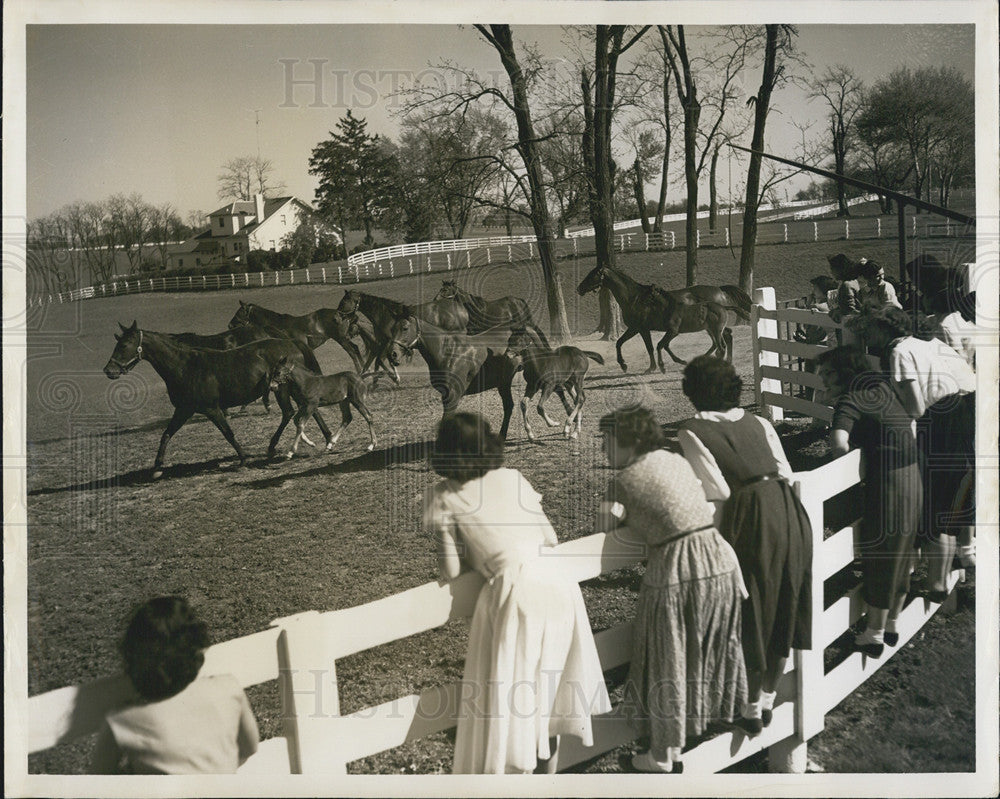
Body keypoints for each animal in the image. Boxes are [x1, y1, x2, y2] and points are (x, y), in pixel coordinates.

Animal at [104, 320, 332, 482]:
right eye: (116, 342)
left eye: (124, 344)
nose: (109, 370)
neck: (184, 367)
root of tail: (290, 342)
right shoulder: (184, 410)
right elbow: (166, 434)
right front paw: (157, 468)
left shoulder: (212, 409)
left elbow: (228, 433)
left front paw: (243, 459)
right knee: (306, 410)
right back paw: (327, 438)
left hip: (282, 389)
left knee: (289, 413)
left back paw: (273, 446)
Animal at [227, 300, 372, 376]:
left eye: (239, 312)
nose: (230, 325)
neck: (280, 325)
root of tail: (343, 314)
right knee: (356, 349)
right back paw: (365, 370)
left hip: (341, 339)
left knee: (352, 352)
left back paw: (360, 371)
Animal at [338, 290, 470, 384]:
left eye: (344, 301)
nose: (338, 316)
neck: (385, 316)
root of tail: (461, 309)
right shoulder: (383, 345)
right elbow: (376, 362)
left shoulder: (388, 344)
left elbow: (380, 360)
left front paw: (395, 378)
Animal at [386, 316, 520, 440]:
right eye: (392, 329)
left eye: (405, 328)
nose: (392, 354)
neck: (449, 353)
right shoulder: (446, 395)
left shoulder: (453, 395)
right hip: (504, 383)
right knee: (509, 406)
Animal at [576, 264, 740, 374]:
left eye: (592, 275)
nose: (579, 289)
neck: (634, 298)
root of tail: (720, 291)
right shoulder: (635, 328)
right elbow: (619, 343)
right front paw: (624, 365)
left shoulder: (641, 329)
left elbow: (649, 347)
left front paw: (649, 368)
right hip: (709, 328)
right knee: (724, 337)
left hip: (711, 327)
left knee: (723, 339)